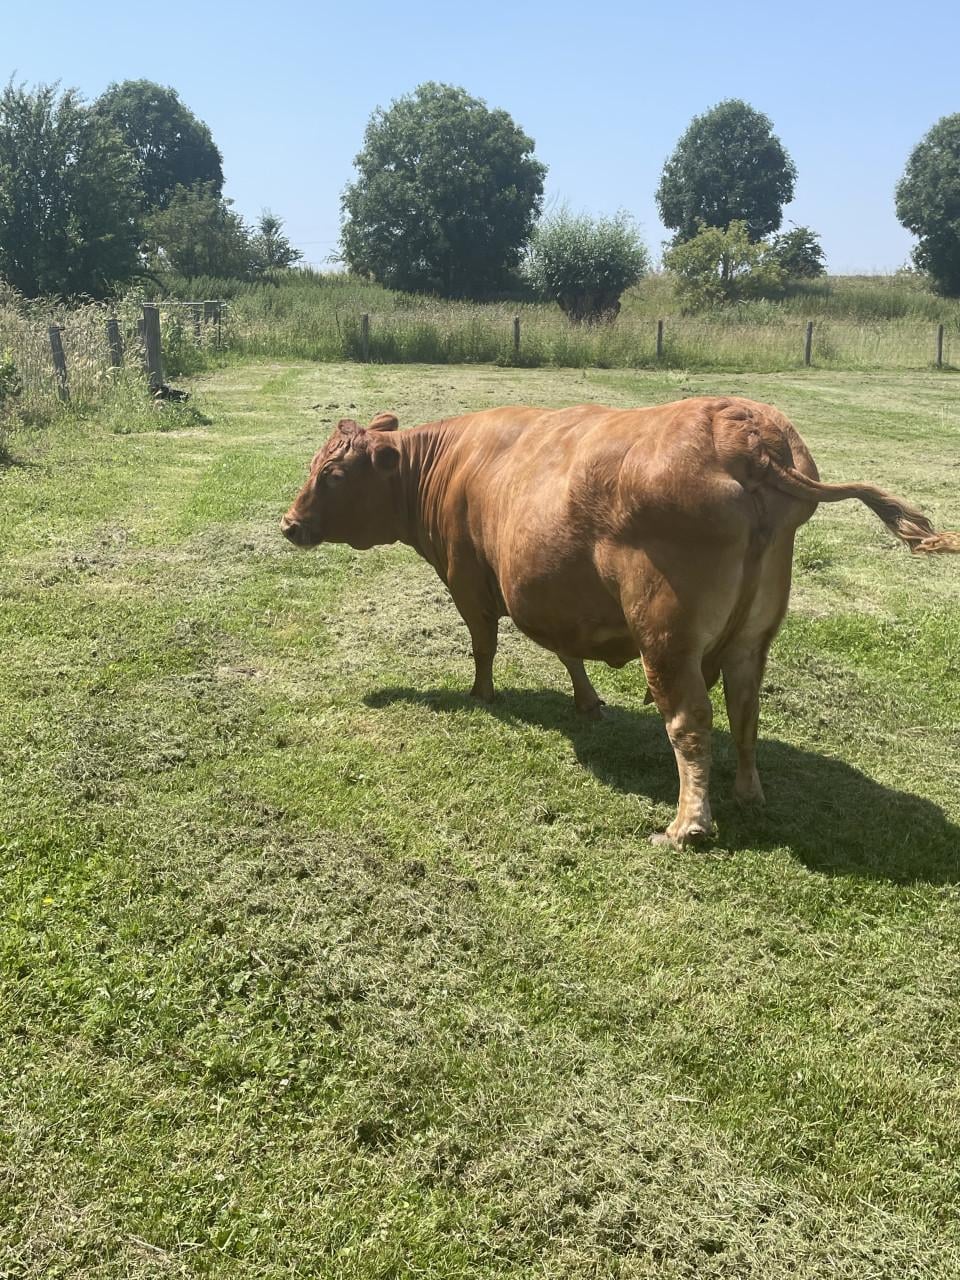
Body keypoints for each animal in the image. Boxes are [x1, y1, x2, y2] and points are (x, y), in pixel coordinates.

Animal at [280, 399, 957, 847]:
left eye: (332, 475)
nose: (288, 524)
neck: (448, 465)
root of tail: (745, 431)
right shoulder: (560, 595)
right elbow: (566, 650)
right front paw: (587, 702)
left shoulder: (468, 581)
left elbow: (484, 645)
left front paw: (482, 695)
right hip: (752, 637)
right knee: (744, 711)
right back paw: (747, 792)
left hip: (667, 637)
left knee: (689, 722)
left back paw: (688, 826)